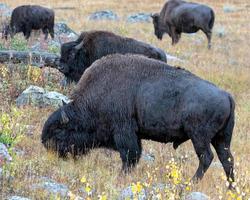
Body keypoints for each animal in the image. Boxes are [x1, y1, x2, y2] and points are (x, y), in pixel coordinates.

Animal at [42, 53, 235, 188]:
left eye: (59, 131)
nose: (46, 145)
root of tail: (227, 95)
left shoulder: (124, 132)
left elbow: (129, 156)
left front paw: (122, 176)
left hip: (199, 137)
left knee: (207, 157)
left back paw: (189, 184)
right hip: (221, 139)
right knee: (227, 160)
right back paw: (230, 188)